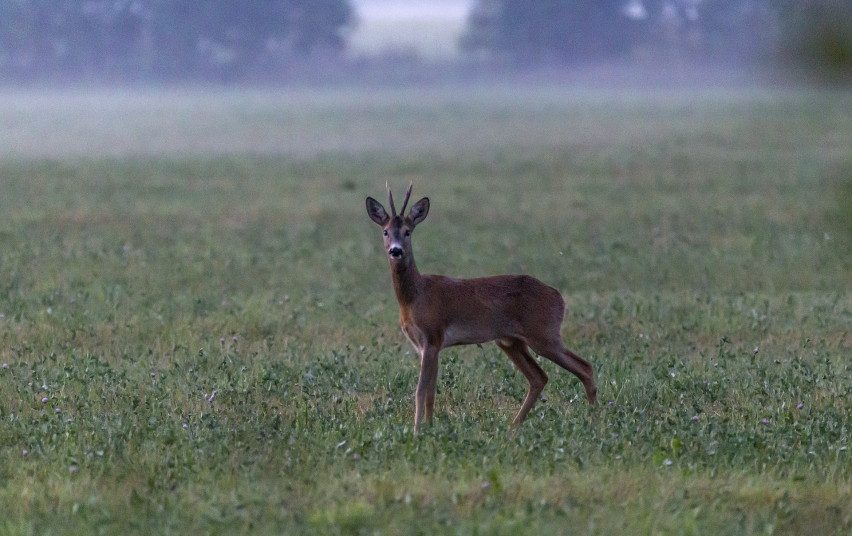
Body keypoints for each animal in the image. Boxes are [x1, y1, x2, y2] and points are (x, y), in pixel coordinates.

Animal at [366, 182, 600, 434]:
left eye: (408, 231)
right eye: (385, 231)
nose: (396, 250)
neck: (415, 296)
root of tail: (559, 297)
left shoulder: (432, 337)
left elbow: (420, 390)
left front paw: (417, 431)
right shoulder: (427, 345)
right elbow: (430, 391)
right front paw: (429, 427)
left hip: (544, 334)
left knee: (584, 367)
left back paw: (594, 421)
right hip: (510, 341)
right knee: (539, 377)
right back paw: (513, 426)